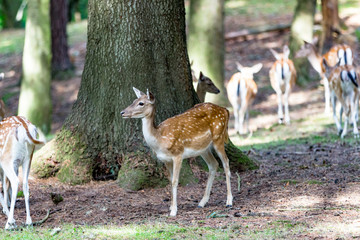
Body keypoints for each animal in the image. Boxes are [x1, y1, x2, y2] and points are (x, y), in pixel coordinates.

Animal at [121, 87, 233, 217]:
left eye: (141, 103)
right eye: (134, 100)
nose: (122, 112)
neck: (160, 140)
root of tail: (225, 110)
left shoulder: (178, 154)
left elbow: (175, 181)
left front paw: (174, 210)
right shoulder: (165, 160)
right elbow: (170, 180)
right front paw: (170, 206)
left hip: (218, 137)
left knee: (226, 163)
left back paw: (229, 201)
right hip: (203, 148)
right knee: (214, 164)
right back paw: (202, 202)